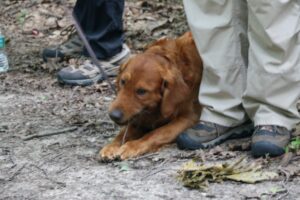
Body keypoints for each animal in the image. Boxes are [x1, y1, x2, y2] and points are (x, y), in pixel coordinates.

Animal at [99, 32, 203, 160]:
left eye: (142, 91)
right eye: (123, 82)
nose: (113, 115)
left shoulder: (188, 118)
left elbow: (156, 133)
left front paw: (133, 146)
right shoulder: (139, 117)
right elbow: (124, 133)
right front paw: (112, 146)